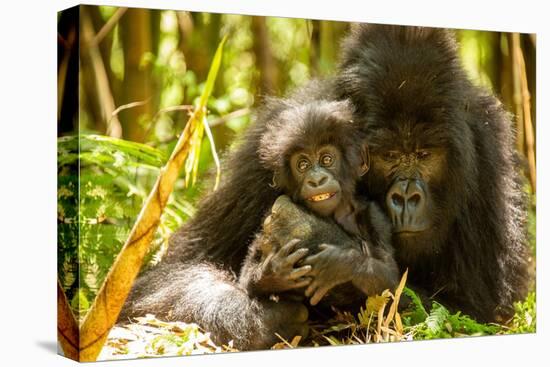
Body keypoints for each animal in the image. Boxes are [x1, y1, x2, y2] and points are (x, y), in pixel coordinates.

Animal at [239, 100, 398, 308]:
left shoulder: (375, 214)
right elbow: (247, 279)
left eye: (327, 159)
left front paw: (339, 263)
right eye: (303, 165)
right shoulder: (267, 218)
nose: (316, 180)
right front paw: (276, 271)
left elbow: (391, 281)